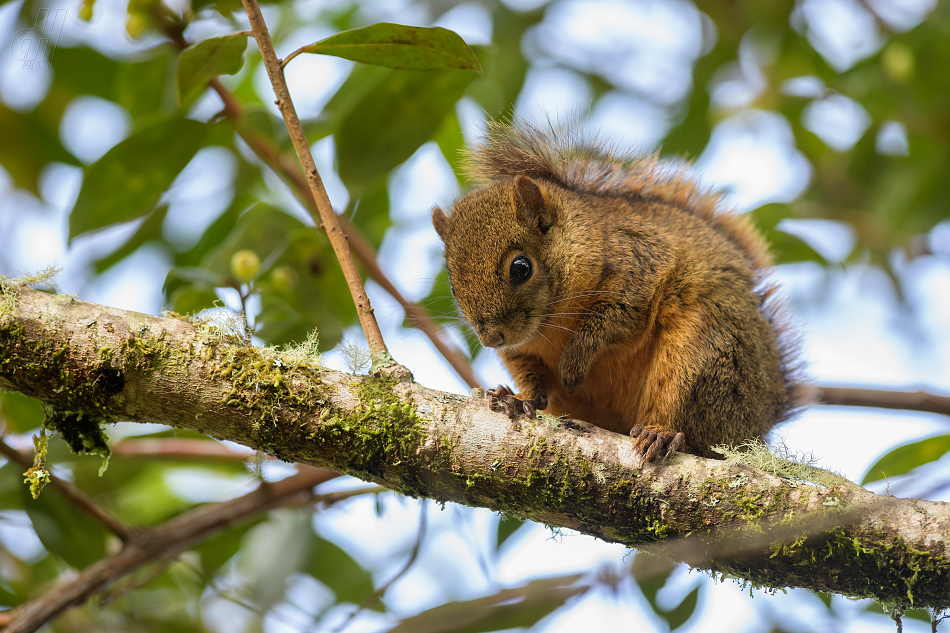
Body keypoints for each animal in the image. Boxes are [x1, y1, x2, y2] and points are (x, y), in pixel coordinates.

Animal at [434, 121, 812, 462]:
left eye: (520, 268)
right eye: (452, 284)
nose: (491, 339)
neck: (550, 322)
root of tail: (758, 424)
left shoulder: (639, 266)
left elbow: (613, 320)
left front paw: (574, 362)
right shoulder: (521, 351)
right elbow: (532, 377)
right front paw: (518, 398)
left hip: (706, 348)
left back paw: (661, 433)